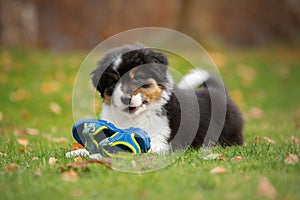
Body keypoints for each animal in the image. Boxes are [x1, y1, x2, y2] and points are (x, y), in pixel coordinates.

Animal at [90, 43, 243, 152]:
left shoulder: (162, 140)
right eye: (113, 83)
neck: (134, 117)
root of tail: (216, 89)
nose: (125, 99)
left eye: (138, 78)